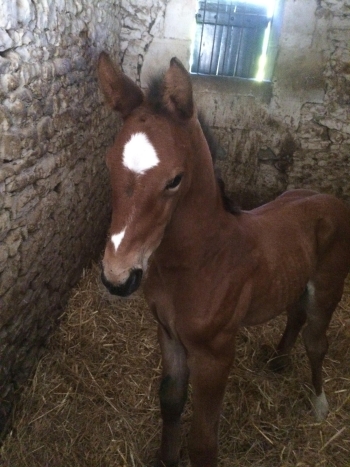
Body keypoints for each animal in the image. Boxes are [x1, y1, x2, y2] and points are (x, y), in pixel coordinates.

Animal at [97, 53, 350, 466]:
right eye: (108, 164)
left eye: (175, 179)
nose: (118, 276)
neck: (202, 260)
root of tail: (332, 200)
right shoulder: (169, 335)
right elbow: (170, 400)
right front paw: (166, 458)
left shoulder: (216, 355)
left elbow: (204, 442)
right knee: (294, 314)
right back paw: (278, 361)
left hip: (328, 289)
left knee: (317, 341)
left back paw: (319, 404)